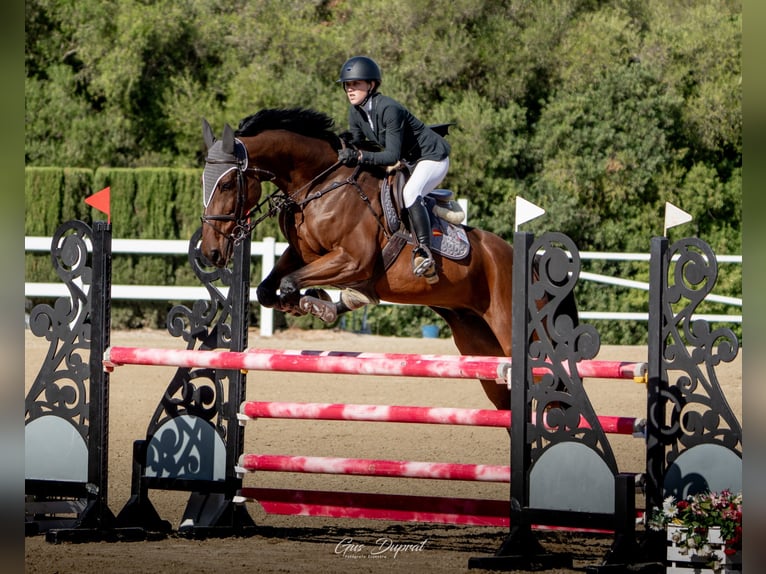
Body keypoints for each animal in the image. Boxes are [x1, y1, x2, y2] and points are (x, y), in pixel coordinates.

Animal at [199, 108, 545, 411]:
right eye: (205, 181)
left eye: (227, 184)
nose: (210, 252)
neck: (318, 185)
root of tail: (527, 262)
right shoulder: (301, 254)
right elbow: (267, 290)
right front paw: (313, 302)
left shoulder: (353, 261)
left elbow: (288, 283)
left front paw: (317, 303)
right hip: (476, 340)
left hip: (508, 328)